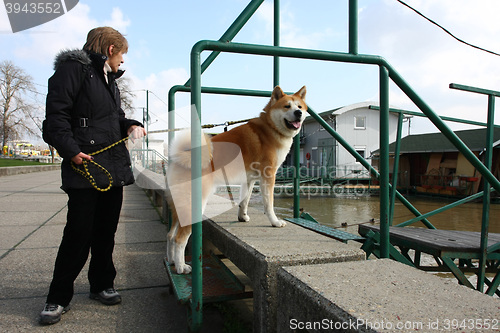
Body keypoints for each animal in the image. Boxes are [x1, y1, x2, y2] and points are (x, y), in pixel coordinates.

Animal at [166, 85, 306, 272]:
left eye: (300, 107)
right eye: (287, 106)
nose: (298, 113)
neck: (270, 128)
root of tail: (179, 159)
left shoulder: (250, 178)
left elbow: (244, 201)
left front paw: (242, 217)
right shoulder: (268, 175)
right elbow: (269, 204)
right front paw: (275, 222)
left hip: (178, 207)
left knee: (170, 235)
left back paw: (172, 261)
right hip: (193, 205)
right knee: (179, 238)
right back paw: (182, 267)